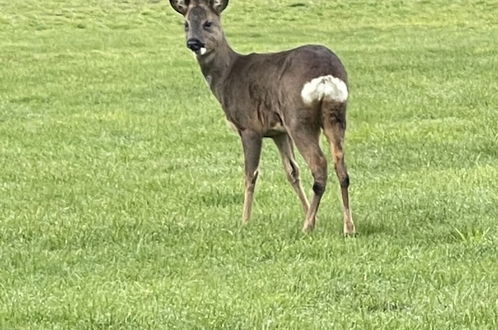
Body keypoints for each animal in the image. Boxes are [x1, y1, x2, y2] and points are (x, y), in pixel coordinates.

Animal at [169, 0, 356, 235]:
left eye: (208, 23)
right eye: (186, 24)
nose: (193, 42)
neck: (227, 76)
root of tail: (326, 76)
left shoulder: (250, 127)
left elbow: (250, 175)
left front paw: (245, 221)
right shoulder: (278, 131)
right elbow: (292, 171)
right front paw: (314, 216)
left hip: (298, 119)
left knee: (320, 165)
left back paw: (307, 227)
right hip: (335, 114)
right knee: (341, 167)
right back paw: (348, 227)